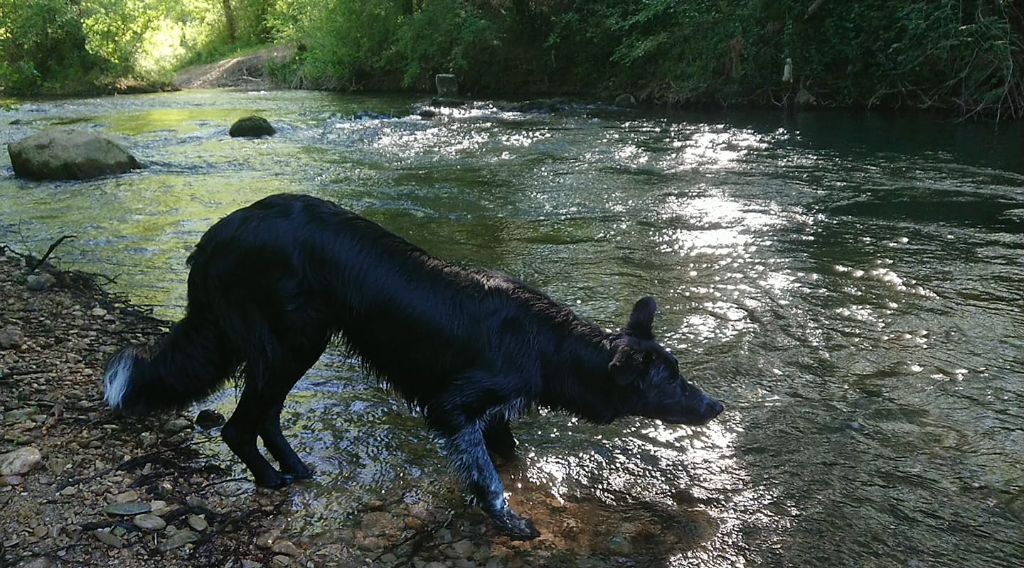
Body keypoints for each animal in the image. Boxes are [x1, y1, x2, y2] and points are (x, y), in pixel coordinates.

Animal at [103, 193, 724, 540]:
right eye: (670, 381)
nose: (716, 405)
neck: (546, 343)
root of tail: (215, 237)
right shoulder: (455, 408)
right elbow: (490, 480)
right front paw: (513, 523)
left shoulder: (495, 416)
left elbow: (510, 462)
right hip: (289, 343)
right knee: (237, 425)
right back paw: (272, 479)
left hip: (297, 345)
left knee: (266, 417)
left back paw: (298, 470)